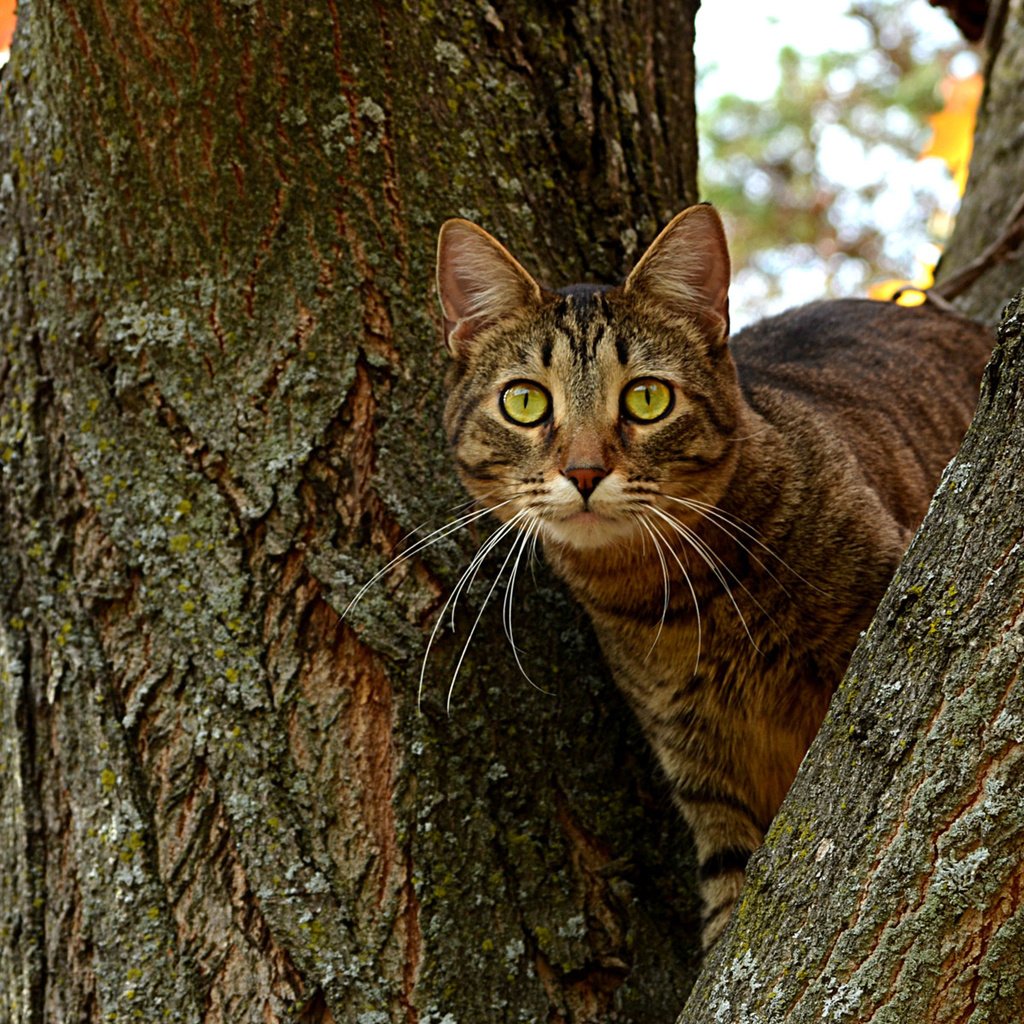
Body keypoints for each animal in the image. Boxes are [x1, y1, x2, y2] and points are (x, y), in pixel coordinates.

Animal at [434, 203, 991, 946]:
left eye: (646, 399)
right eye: (525, 402)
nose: (583, 471)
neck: (683, 597)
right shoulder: (706, 773)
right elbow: (732, 907)